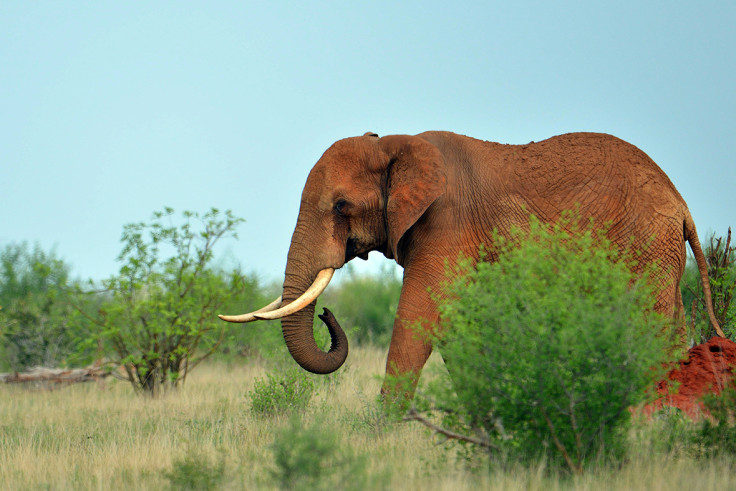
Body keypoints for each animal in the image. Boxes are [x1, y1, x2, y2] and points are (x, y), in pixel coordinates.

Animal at [220, 131, 724, 400]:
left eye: (342, 205)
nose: (328, 313)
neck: (396, 145)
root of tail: (680, 202)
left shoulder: (447, 223)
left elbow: (417, 319)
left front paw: (379, 433)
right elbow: (456, 326)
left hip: (645, 244)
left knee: (648, 324)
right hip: (658, 250)